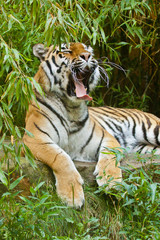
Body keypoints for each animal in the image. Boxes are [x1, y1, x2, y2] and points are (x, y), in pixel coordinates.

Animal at [23, 42, 160, 207]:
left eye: (87, 49)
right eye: (66, 50)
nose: (87, 56)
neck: (71, 108)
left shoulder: (106, 138)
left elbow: (109, 156)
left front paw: (111, 183)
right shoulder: (35, 138)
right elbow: (60, 157)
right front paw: (72, 195)